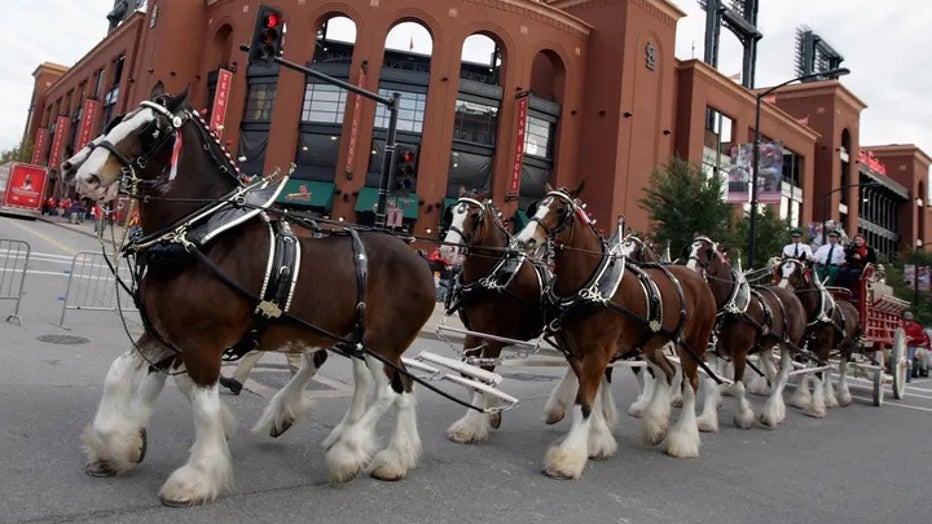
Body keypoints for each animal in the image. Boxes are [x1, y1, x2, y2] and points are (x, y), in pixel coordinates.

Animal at [65, 88, 436, 506]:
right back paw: (393, 457)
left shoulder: (202, 341)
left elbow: (203, 406)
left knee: (387, 391)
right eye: (116, 120)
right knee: (400, 387)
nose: (86, 176)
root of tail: (422, 261)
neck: (200, 237)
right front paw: (119, 444)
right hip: (364, 341)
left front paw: (196, 477)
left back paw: (348, 452)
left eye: (151, 131)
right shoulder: (164, 333)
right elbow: (121, 374)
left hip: (378, 343)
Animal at [512, 184, 716, 478]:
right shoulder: (575, 353)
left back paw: (684, 441)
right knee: (667, 372)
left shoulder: (598, 353)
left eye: (561, 210)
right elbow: (591, 399)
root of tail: (697, 279)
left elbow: (585, 402)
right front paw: (598, 442)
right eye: (536, 207)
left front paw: (568, 458)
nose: (525, 240)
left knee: (690, 386)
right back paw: (656, 426)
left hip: (692, 344)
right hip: (651, 344)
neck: (590, 285)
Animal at [684, 237, 808, 430]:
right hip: (766, 346)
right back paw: (777, 409)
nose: (689, 272)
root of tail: (790, 294)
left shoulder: (740, 352)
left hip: (788, 344)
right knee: (772, 373)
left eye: (708, 253)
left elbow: (738, 386)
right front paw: (707, 420)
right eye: (689, 249)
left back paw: (771, 413)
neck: (730, 306)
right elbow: (710, 384)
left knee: (783, 375)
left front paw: (744, 417)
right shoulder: (711, 352)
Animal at [780, 258, 860, 418]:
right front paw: (802, 399)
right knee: (828, 367)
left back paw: (844, 396)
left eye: (798, 271)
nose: (781, 288)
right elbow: (803, 370)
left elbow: (818, 373)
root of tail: (851, 306)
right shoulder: (801, 346)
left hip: (846, 348)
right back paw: (829, 398)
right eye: (781, 269)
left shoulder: (823, 348)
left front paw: (816, 408)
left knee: (842, 369)